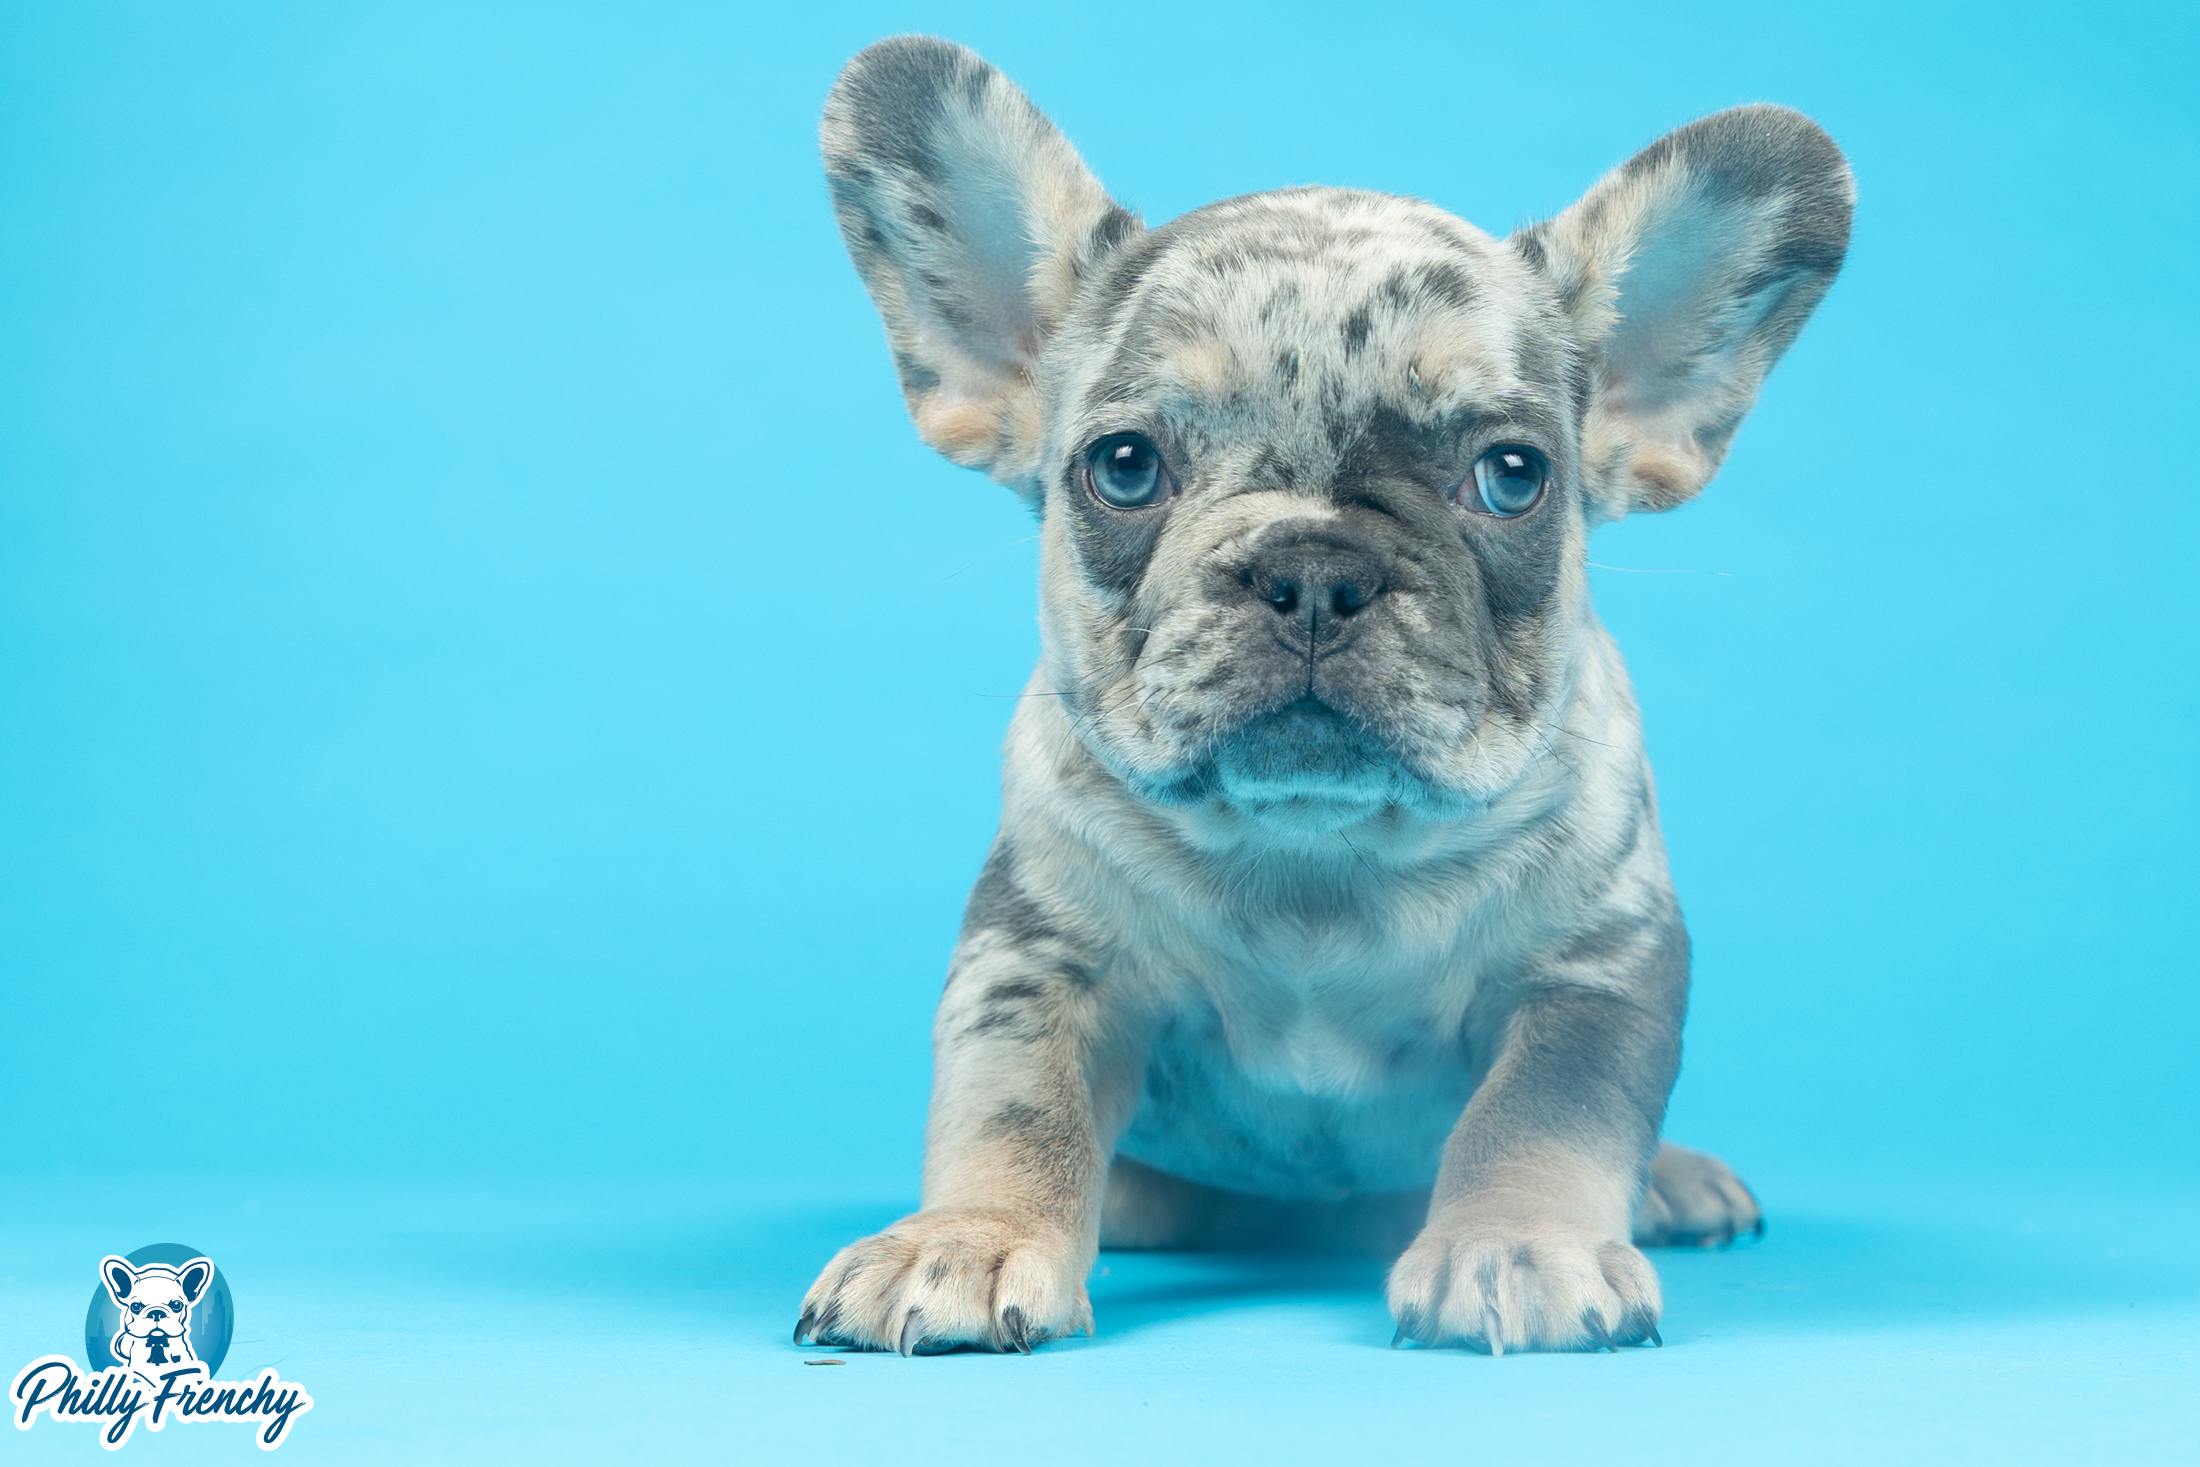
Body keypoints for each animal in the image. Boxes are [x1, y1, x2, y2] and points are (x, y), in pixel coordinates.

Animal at [800, 34, 1848, 1363]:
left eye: (1512, 476)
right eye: (1124, 466)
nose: (1311, 569)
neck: (1317, 853)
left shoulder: (1592, 966)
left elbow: (1538, 1117)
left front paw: (1519, 1246)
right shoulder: (1038, 954)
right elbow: (1013, 1104)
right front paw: (970, 1235)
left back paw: (1671, 1184)